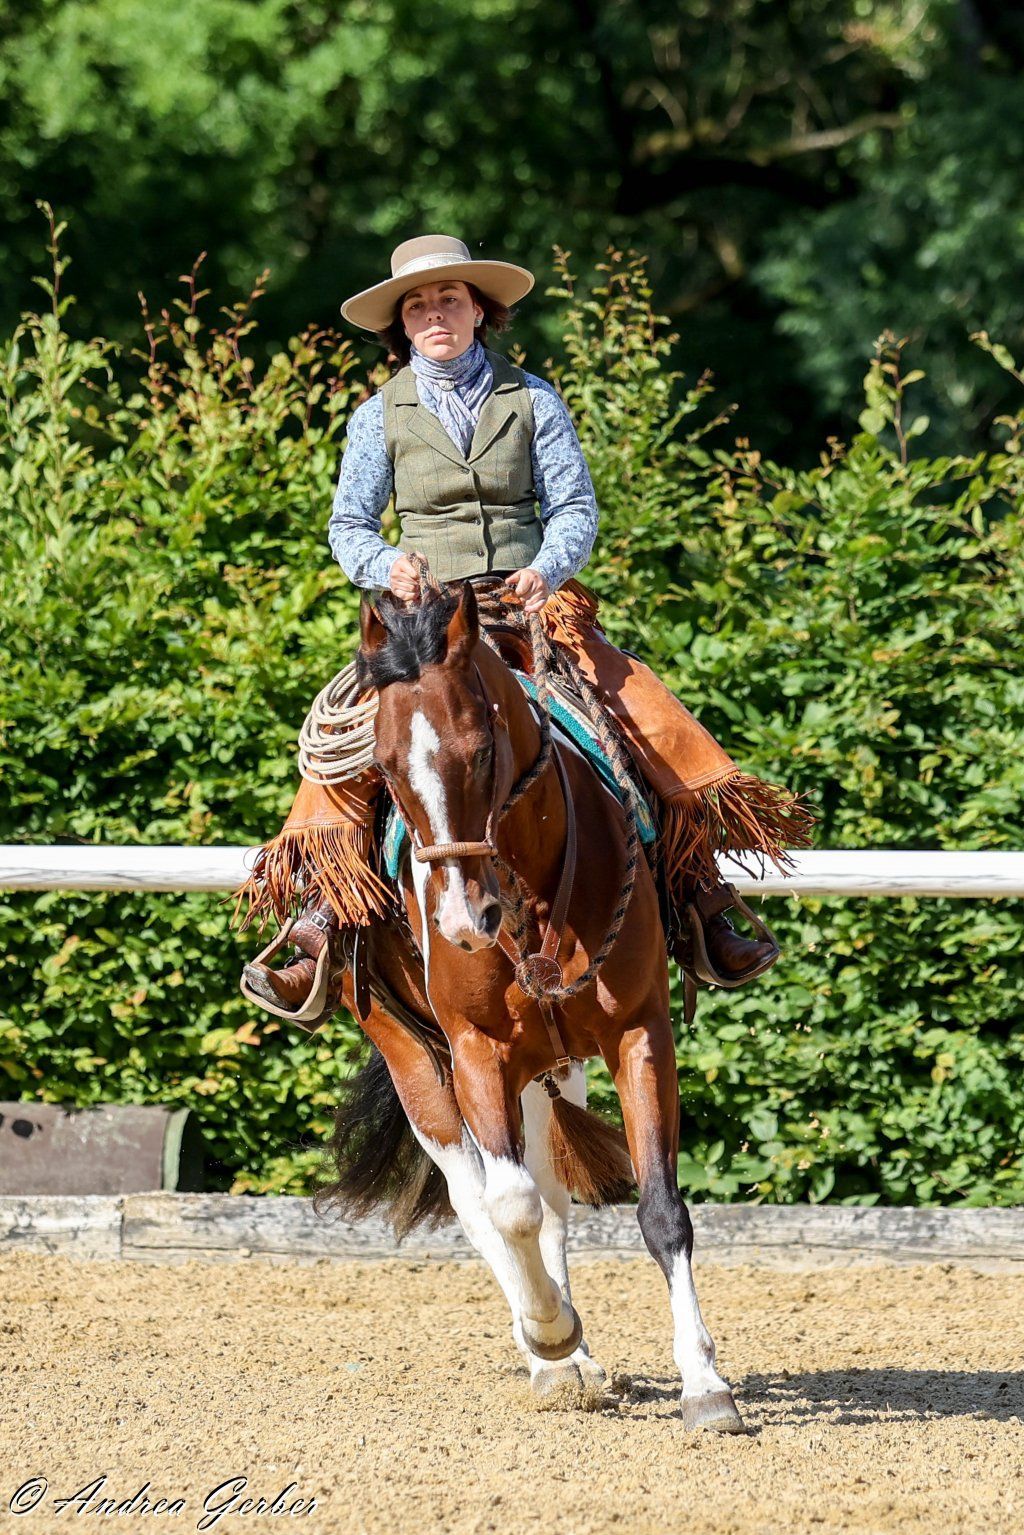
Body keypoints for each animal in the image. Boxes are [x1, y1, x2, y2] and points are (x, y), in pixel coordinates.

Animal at [314, 578, 744, 1431]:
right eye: (384, 763)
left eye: (482, 750)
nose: (458, 921)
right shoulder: (476, 1050)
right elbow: (507, 1205)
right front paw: (550, 1333)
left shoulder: (639, 1033)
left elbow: (659, 1208)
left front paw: (704, 1382)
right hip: (413, 1056)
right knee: (477, 1196)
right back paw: (552, 1351)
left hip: (551, 1066)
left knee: (549, 1187)